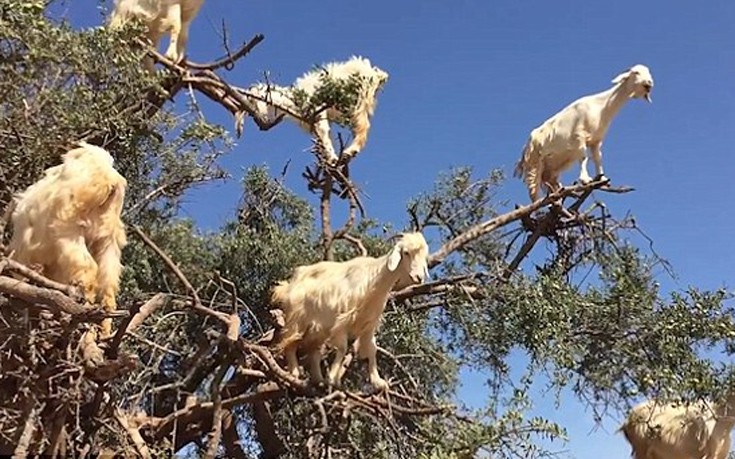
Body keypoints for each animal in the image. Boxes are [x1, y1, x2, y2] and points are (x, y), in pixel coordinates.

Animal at [8, 143, 128, 338]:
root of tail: (108, 178)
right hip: (109, 239)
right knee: (108, 286)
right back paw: (103, 328)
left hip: (68, 227)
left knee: (88, 270)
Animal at [246, 56, 392, 165]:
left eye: (254, 99)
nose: (260, 122)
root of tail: (377, 74)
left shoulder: (318, 109)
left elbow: (324, 130)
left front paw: (332, 157)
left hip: (359, 100)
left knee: (363, 126)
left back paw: (349, 152)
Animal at [272, 234, 432, 392]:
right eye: (406, 253)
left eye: (424, 256)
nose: (419, 278)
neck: (375, 280)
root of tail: (289, 285)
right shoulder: (342, 320)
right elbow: (343, 348)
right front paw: (333, 378)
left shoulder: (368, 324)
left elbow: (372, 349)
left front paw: (378, 382)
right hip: (296, 319)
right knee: (289, 344)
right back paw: (295, 372)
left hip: (319, 328)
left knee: (314, 351)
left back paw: (318, 379)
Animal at [512, 63, 656, 202]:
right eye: (636, 72)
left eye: (649, 72)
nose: (649, 83)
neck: (601, 107)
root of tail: (525, 148)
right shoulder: (579, 136)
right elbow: (583, 157)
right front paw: (585, 179)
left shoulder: (596, 140)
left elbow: (598, 158)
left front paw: (603, 180)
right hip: (534, 165)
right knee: (533, 192)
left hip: (552, 168)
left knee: (551, 183)